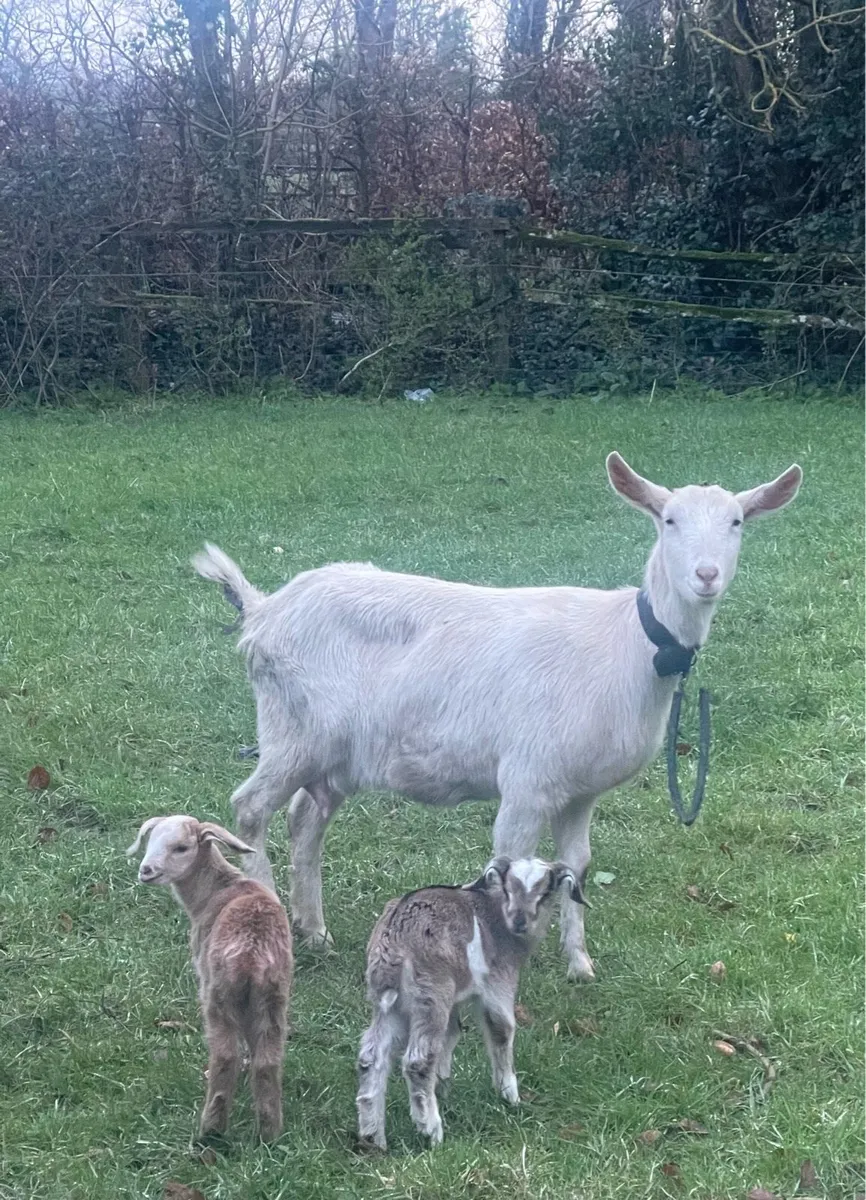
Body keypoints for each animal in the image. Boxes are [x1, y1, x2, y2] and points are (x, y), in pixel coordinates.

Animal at [127, 815, 293, 1141]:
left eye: (181, 847)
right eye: (150, 840)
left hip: (218, 993)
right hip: (274, 995)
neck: (214, 891)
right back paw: (269, 1131)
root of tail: (251, 955)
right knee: (269, 1060)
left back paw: (211, 1130)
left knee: (224, 1056)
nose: (146, 870)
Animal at [192, 451, 802, 980]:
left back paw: (315, 929)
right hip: (292, 731)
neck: (627, 645)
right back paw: (275, 920)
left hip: (336, 752)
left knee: (305, 818)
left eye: (737, 521)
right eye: (668, 519)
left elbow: (577, 866)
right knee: (250, 807)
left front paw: (579, 963)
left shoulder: (580, 791)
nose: (706, 575)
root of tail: (264, 611)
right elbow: (511, 865)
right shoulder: (528, 780)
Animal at [356, 855, 585, 1149]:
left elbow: (452, 1034)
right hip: (431, 994)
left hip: (389, 1005)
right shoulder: (497, 984)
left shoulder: (455, 1000)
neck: (497, 919)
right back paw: (431, 1130)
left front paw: (443, 1087)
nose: (520, 922)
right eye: (508, 887)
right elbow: (502, 1029)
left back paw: (373, 1137)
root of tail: (392, 944)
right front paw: (509, 1096)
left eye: (546, 891)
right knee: (418, 1060)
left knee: (371, 1056)